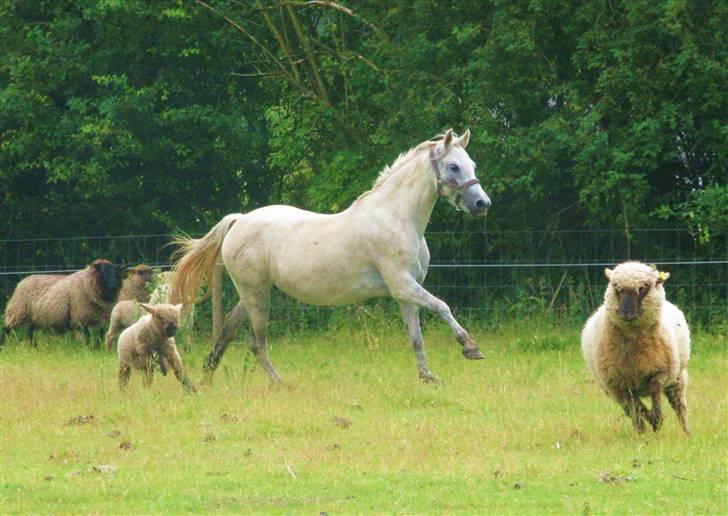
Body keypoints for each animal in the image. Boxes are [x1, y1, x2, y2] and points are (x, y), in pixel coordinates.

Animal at [170, 129, 491, 382]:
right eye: (453, 167)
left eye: (472, 164)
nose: (482, 203)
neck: (397, 217)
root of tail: (239, 220)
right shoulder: (403, 285)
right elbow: (442, 306)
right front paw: (470, 347)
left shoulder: (406, 293)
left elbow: (416, 337)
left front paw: (428, 377)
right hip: (256, 294)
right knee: (256, 341)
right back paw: (278, 382)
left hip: (253, 293)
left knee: (229, 331)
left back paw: (207, 377)